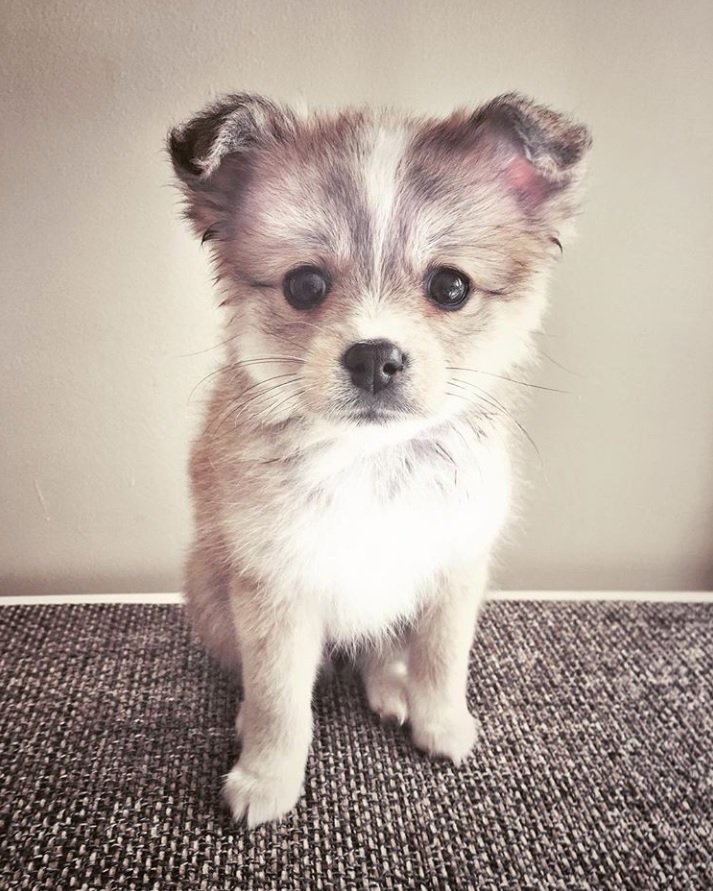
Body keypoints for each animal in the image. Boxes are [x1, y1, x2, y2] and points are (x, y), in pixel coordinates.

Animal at [167, 94, 588, 824]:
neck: (374, 458)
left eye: (449, 287)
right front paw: (267, 776)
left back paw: (393, 690)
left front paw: (440, 723)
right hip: (212, 595)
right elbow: (279, 697)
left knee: (386, 649)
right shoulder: (276, 587)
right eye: (305, 285)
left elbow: (441, 660)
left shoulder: (453, 569)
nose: (373, 357)